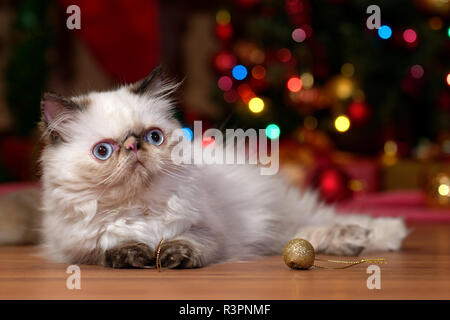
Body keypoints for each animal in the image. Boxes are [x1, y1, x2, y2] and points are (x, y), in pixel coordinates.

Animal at [0, 67, 408, 268]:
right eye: (103, 151)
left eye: (153, 137)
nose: (133, 147)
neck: (139, 209)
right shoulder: (80, 246)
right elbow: (113, 245)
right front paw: (135, 255)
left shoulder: (210, 231)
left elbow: (188, 243)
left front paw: (172, 257)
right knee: (301, 237)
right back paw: (356, 240)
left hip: (276, 216)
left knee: (316, 224)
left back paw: (379, 234)